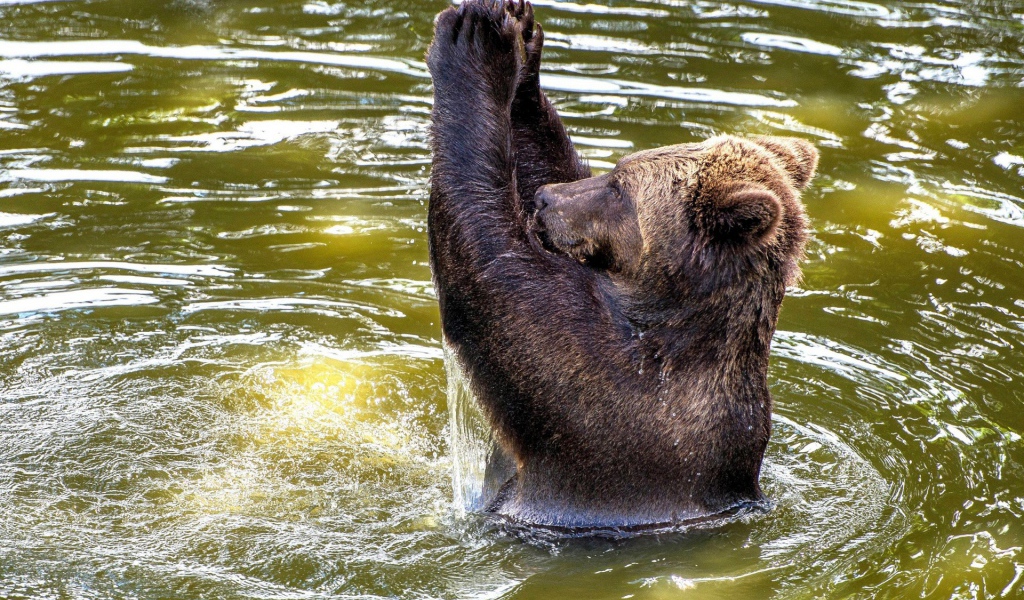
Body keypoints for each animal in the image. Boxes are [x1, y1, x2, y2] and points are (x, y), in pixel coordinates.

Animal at [426, 0, 818, 532]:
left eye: (619, 188)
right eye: (613, 170)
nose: (545, 200)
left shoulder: (599, 389)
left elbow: (489, 264)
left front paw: (476, 43)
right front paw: (523, 43)